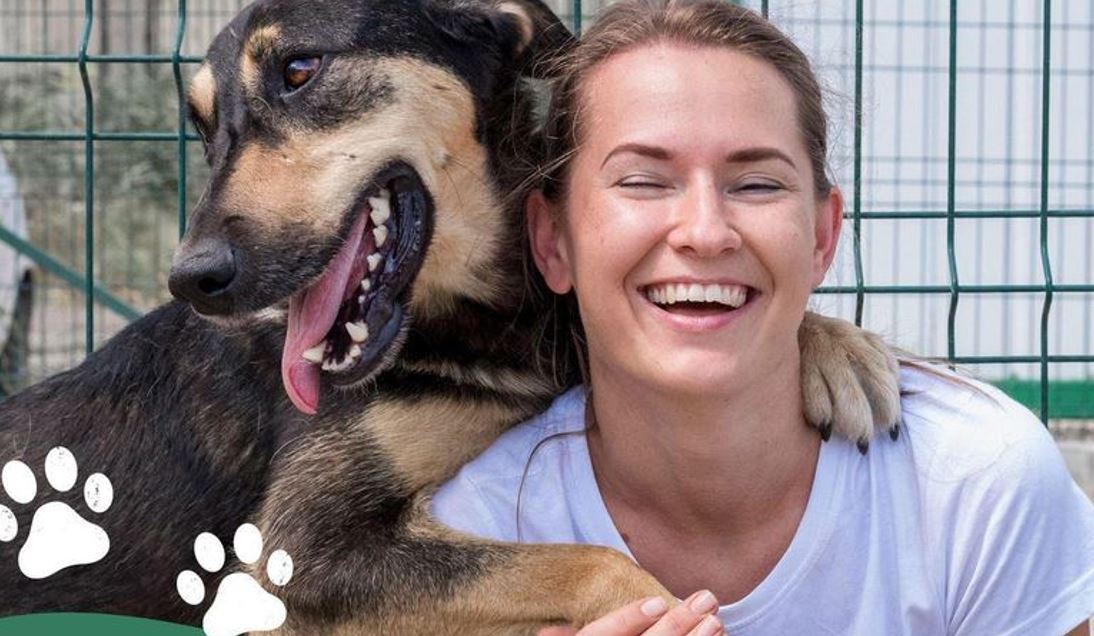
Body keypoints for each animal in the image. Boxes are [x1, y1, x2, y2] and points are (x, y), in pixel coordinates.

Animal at [0, 0, 900, 632]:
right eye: (201, 125)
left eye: (300, 69)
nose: (193, 279)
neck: (480, 324)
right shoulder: (297, 553)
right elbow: (588, 562)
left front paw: (842, 352)